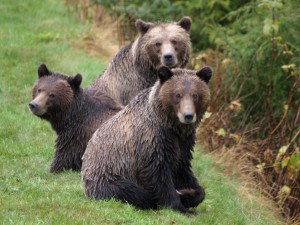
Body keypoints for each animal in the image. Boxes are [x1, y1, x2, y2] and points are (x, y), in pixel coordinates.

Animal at [81, 65, 212, 214]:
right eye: (178, 95)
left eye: (195, 95)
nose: (188, 115)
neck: (172, 126)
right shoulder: (152, 139)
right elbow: (158, 175)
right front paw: (180, 205)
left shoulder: (184, 143)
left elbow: (183, 170)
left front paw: (191, 193)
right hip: (108, 175)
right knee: (131, 191)